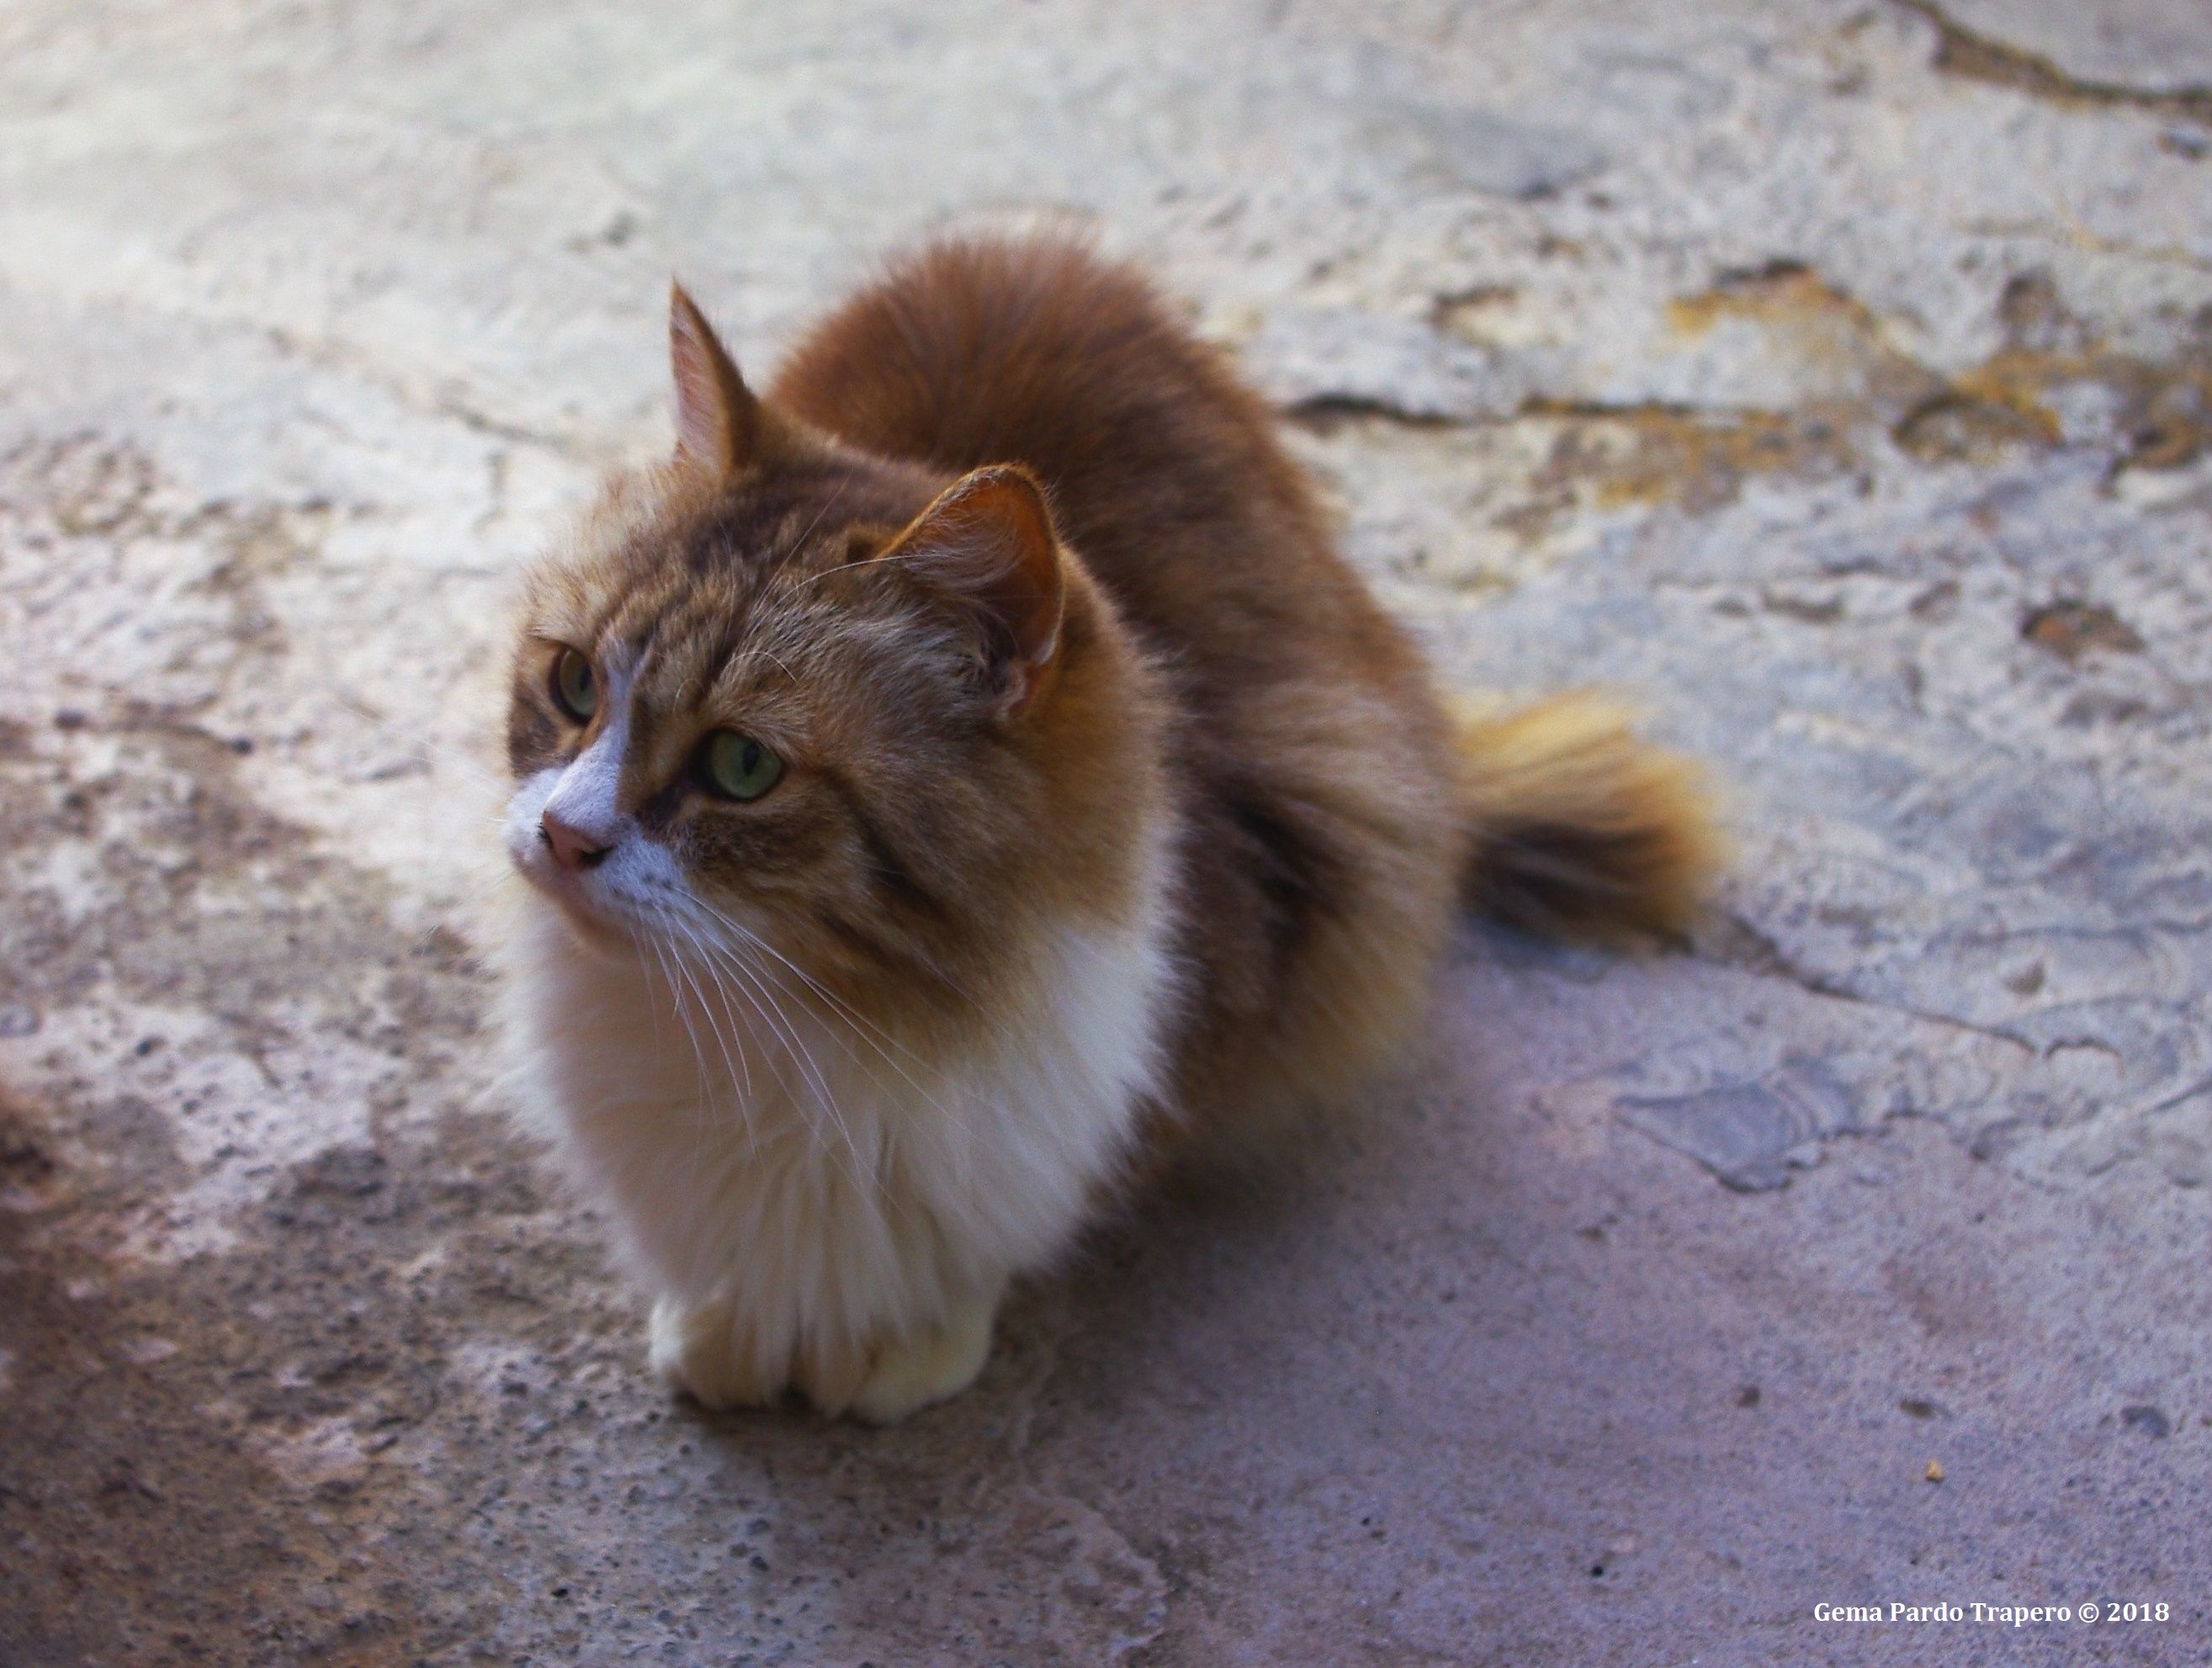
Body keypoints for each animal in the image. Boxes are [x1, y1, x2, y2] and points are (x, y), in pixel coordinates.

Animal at [493, 240, 1716, 1424]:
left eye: (741, 767)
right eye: (572, 682)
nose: (562, 834)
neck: (789, 1016)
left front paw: (900, 1337)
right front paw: (731, 1316)